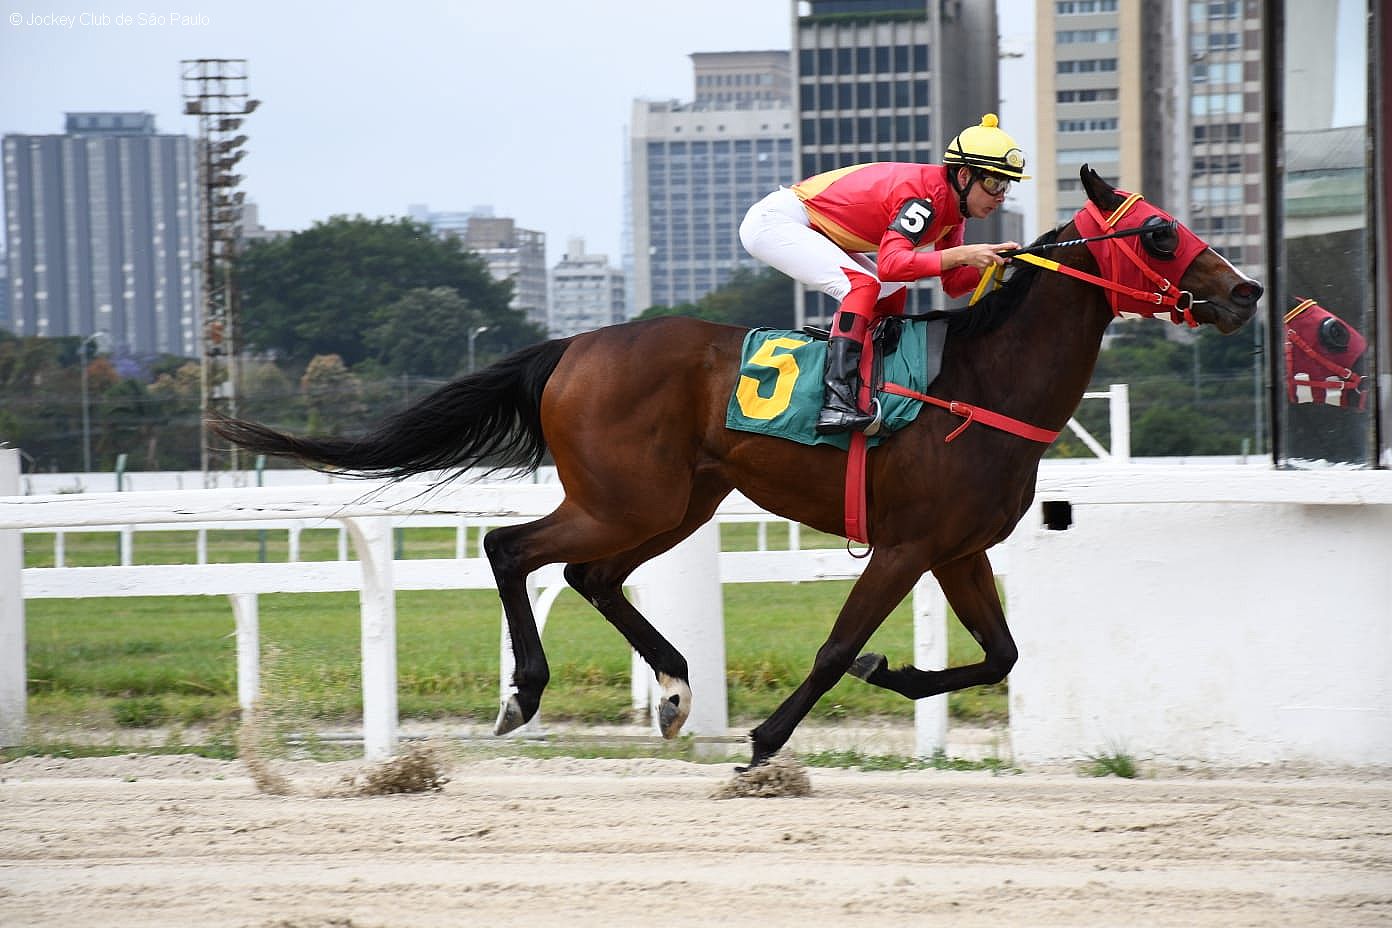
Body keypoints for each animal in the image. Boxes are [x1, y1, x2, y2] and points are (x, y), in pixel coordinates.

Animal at [214, 169, 1263, 768]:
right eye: (1160, 232)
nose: (1247, 290)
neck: (978, 385)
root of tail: (573, 346)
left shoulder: (958, 549)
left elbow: (1001, 655)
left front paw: (893, 674)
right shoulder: (908, 544)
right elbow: (837, 648)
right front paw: (766, 738)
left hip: (678, 501)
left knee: (591, 575)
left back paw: (677, 689)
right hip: (625, 495)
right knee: (514, 549)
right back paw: (528, 693)